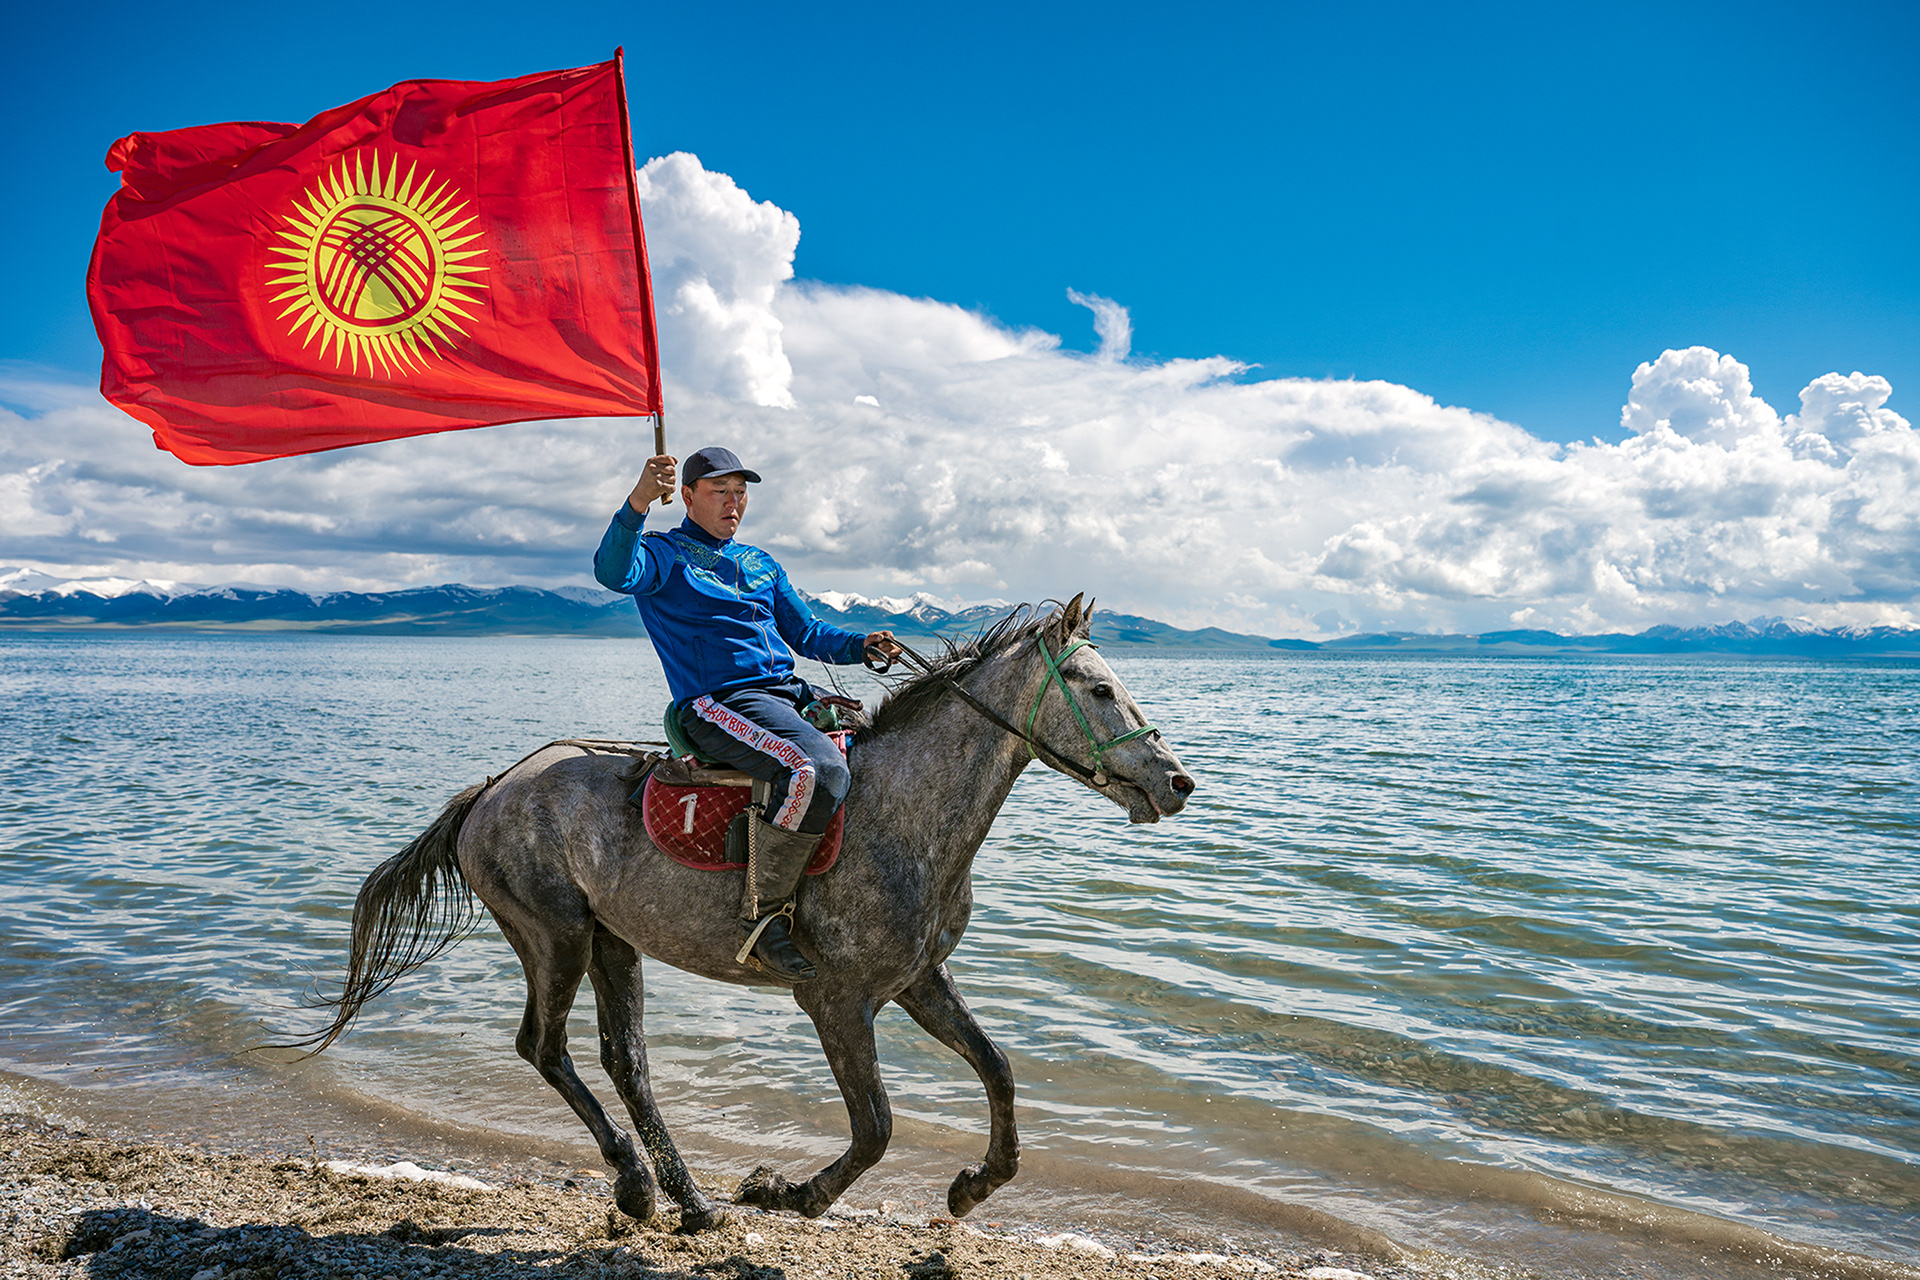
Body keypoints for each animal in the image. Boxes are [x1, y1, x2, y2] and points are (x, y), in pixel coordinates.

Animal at [294, 594, 1195, 1232]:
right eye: (1100, 688)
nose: (1177, 783)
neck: (904, 812)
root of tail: (490, 791)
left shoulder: (917, 981)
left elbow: (999, 1069)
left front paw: (973, 1186)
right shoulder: (836, 1000)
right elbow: (876, 1127)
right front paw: (784, 1192)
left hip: (613, 942)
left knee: (626, 1061)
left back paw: (685, 1200)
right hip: (555, 936)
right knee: (544, 1048)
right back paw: (638, 1186)